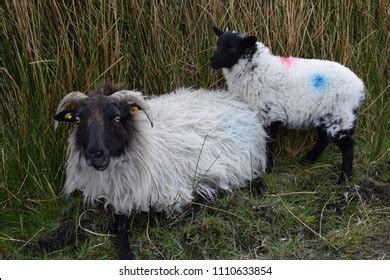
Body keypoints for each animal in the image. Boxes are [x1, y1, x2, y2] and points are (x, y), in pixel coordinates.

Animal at [53, 82, 268, 260]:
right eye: (78, 119)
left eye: (116, 118)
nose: (94, 154)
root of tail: (234, 100)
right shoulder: (117, 195)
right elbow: (119, 223)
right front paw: (125, 250)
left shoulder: (170, 196)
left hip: (246, 161)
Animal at [210, 25, 366, 184]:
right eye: (218, 44)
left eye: (232, 48)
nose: (212, 62)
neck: (256, 70)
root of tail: (359, 87)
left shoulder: (271, 114)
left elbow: (268, 143)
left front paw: (268, 169)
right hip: (326, 114)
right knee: (323, 139)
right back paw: (307, 161)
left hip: (339, 114)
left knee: (347, 146)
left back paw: (344, 179)